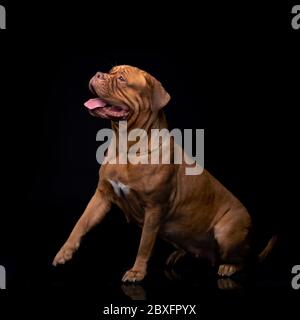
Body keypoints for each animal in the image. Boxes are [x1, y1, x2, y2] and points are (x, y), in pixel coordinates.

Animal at [53, 65, 274, 282]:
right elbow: (81, 223)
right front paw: (64, 251)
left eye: (122, 79)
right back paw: (179, 254)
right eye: (109, 71)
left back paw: (229, 266)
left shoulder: (154, 208)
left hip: (226, 231)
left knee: (243, 260)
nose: (98, 74)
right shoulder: (102, 195)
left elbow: (144, 244)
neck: (126, 145)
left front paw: (137, 272)